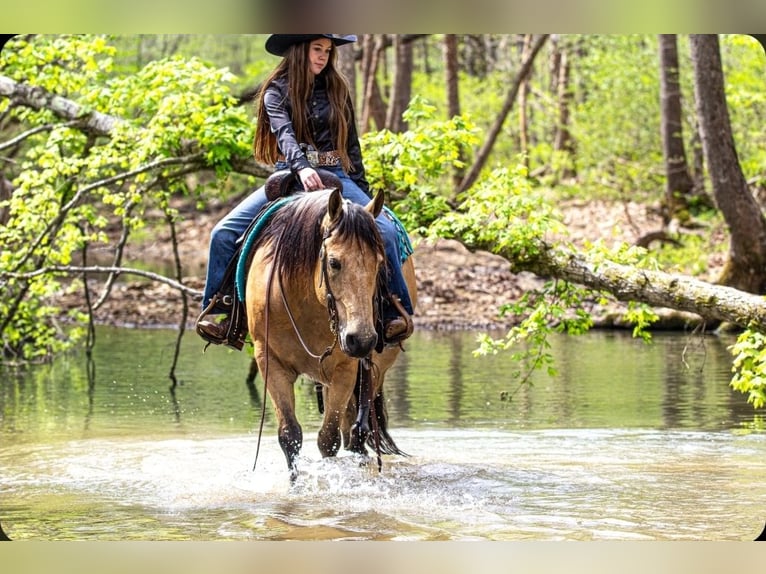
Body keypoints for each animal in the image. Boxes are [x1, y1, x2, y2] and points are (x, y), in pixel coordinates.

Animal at [244, 186, 417, 480]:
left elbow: (328, 439)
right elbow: (289, 435)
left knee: (357, 433)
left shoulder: (344, 369)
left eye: (380, 263)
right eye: (334, 263)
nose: (362, 340)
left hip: (376, 367)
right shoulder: (270, 362)